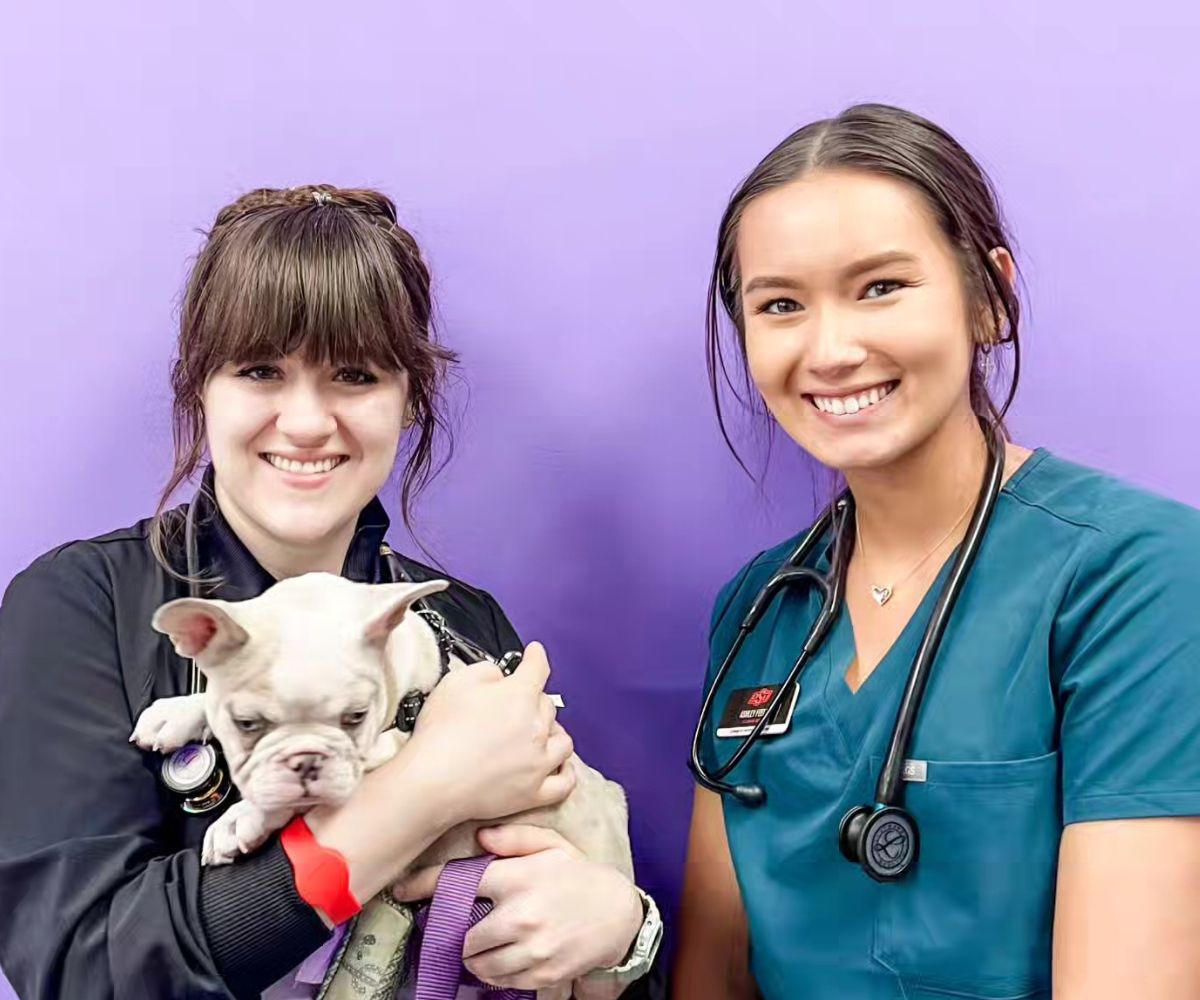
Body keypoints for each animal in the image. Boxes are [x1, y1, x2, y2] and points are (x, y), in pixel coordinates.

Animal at [130, 573, 633, 883]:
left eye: (356, 717)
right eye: (247, 724)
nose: (305, 760)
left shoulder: (384, 750)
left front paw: (242, 820)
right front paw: (178, 712)